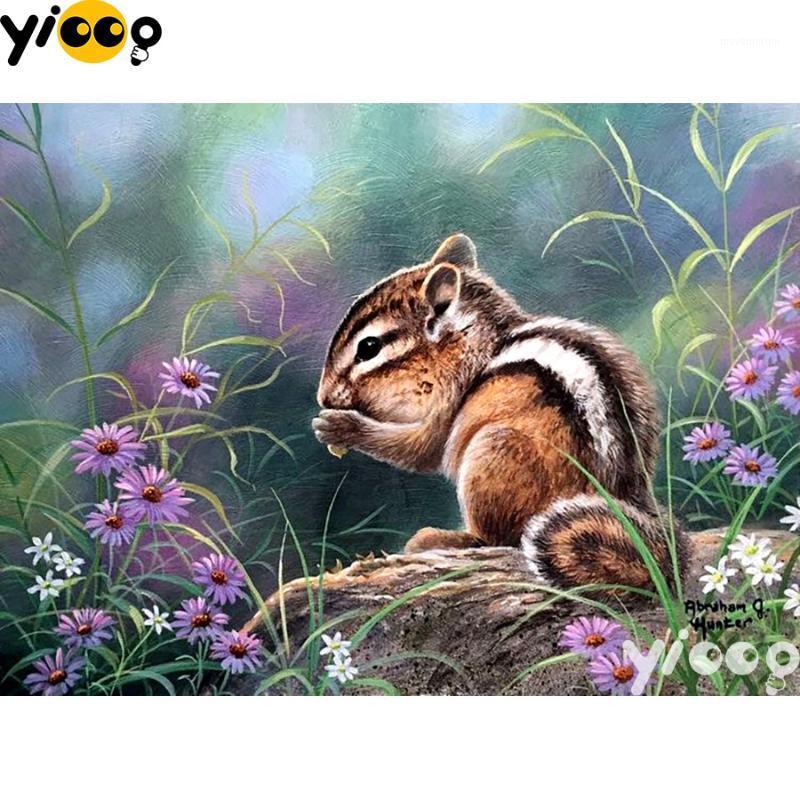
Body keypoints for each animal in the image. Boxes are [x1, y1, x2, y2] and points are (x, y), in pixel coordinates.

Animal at [313, 233, 689, 591]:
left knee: (497, 538)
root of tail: (620, 500)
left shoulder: (448, 404)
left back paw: (445, 538)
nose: (323, 396)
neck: (475, 343)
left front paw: (339, 426)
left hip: (494, 451)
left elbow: (420, 450)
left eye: (369, 347)